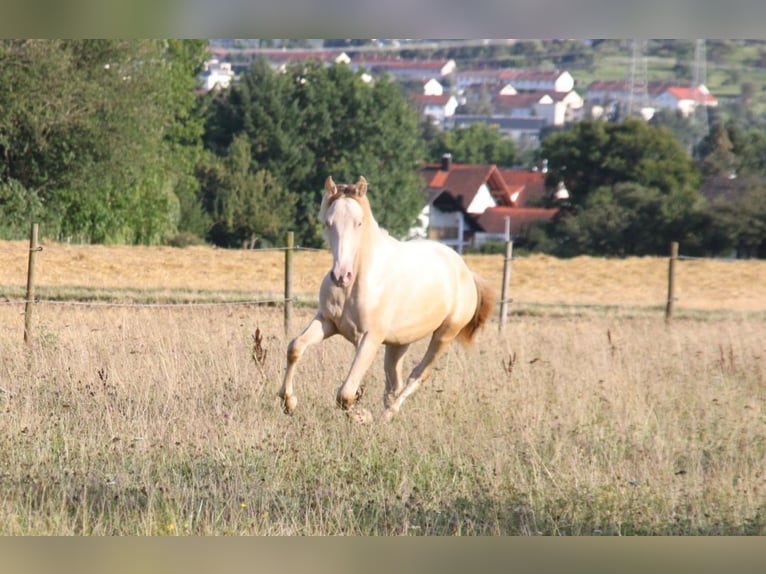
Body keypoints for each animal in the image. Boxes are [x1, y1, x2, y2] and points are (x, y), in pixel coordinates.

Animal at [280, 176, 496, 424]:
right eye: (328, 222)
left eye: (359, 223)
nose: (341, 276)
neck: (356, 284)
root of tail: (465, 270)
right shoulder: (327, 322)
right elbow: (295, 347)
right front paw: (289, 403)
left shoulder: (369, 338)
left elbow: (345, 394)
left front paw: (362, 416)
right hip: (399, 343)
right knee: (394, 383)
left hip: (445, 335)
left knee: (417, 375)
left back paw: (386, 416)